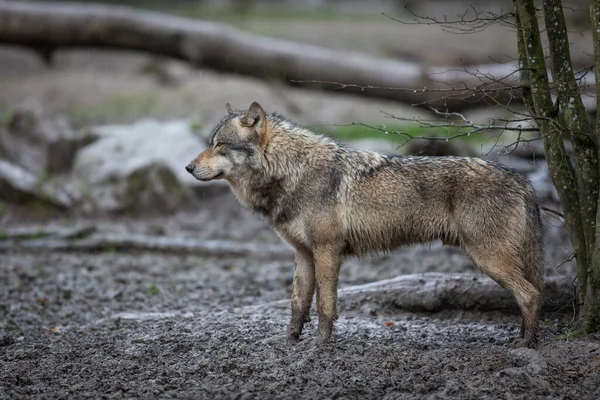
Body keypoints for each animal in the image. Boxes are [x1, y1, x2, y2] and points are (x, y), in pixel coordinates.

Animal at [186, 101, 544, 348]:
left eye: (219, 145)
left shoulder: (328, 251)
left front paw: (320, 345)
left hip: (488, 259)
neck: (290, 172)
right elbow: (298, 304)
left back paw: (526, 344)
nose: (188, 167)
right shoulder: (303, 254)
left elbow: (324, 304)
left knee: (531, 295)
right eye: (210, 142)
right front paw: (289, 342)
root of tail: (523, 180)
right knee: (531, 292)